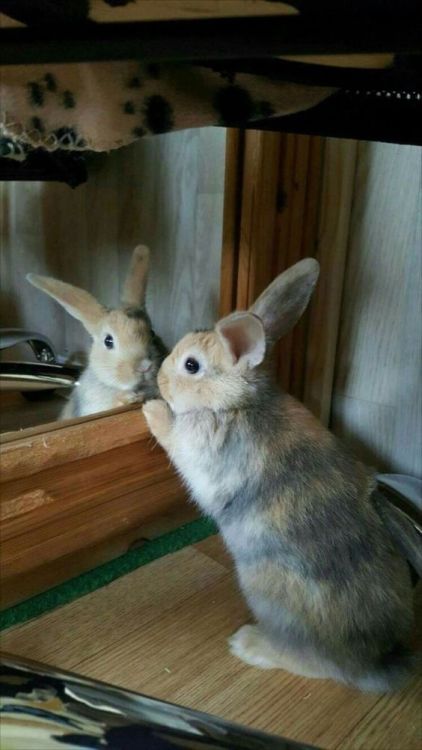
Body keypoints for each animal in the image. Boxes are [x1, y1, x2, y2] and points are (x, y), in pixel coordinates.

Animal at [143, 258, 418, 692]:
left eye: (191, 365)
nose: (159, 380)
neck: (235, 403)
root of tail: (374, 664)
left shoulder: (198, 444)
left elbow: (173, 434)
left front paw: (152, 409)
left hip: (266, 591)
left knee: (319, 663)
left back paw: (250, 645)